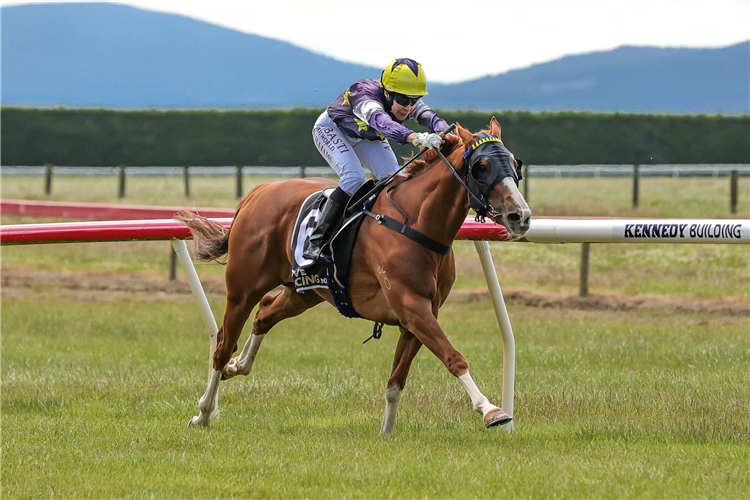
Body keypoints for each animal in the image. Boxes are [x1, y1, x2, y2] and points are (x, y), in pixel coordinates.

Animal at [179, 118, 532, 434]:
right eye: (482, 166)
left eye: (515, 163)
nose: (521, 216)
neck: (416, 224)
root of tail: (257, 192)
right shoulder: (412, 306)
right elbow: (453, 357)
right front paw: (491, 410)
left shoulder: (418, 316)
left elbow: (396, 381)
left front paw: (386, 432)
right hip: (243, 288)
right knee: (223, 343)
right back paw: (204, 412)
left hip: (304, 291)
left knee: (265, 313)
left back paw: (237, 366)